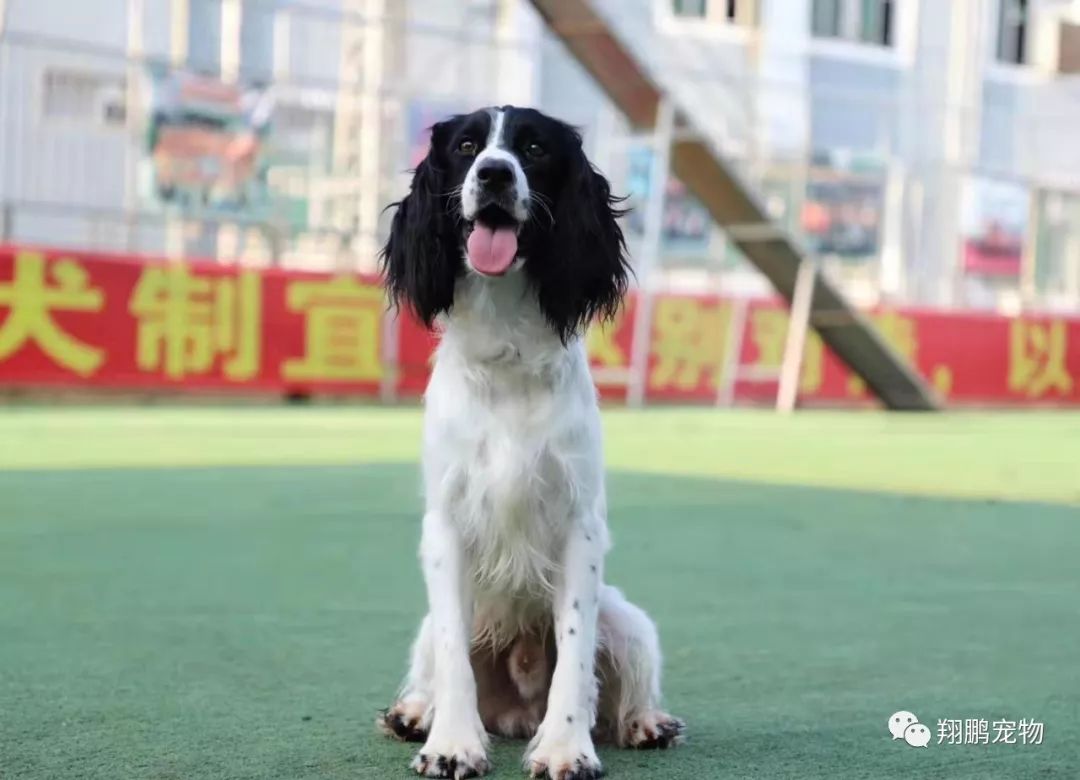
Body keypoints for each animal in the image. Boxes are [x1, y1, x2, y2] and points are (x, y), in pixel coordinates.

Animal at [380, 106, 682, 777]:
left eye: (536, 150)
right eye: (467, 146)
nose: (494, 173)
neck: (507, 356)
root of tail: (515, 711)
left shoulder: (579, 528)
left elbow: (573, 655)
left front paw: (567, 748)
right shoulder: (445, 527)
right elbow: (454, 659)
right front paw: (452, 744)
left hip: (626, 619)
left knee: (624, 680)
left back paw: (646, 722)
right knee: (432, 667)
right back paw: (413, 713)